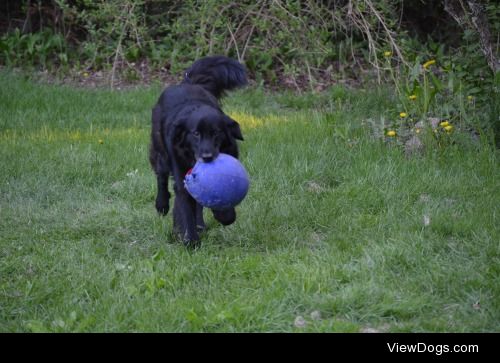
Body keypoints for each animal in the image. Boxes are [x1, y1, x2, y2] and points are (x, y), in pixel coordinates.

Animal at [150, 55, 248, 247]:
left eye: (216, 132)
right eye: (195, 133)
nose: (207, 157)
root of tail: (187, 82)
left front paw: (224, 215)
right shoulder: (180, 173)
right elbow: (185, 204)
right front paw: (191, 241)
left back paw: (200, 225)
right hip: (161, 152)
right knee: (161, 176)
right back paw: (162, 204)